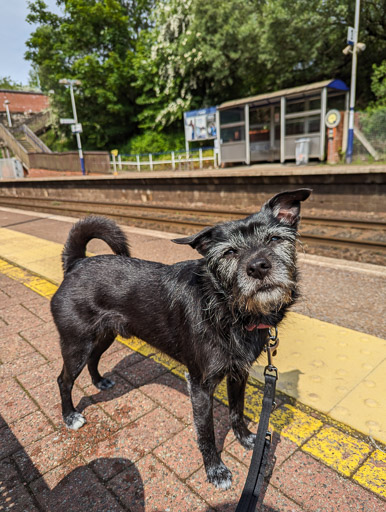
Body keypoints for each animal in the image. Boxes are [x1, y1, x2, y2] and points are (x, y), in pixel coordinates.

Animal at [50, 188, 310, 488]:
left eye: (275, 239)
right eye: (229, 252)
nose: (258, 267)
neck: (225, 307)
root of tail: (76, 264)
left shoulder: (238, 374)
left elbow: (237, 409)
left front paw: (245, 438)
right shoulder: (199, 386)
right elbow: (206, 433)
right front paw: (215, 470)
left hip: (104, 335)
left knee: (94, 359)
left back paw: (100, 381)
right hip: (76, 344)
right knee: (64, 380)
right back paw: (70, 416)